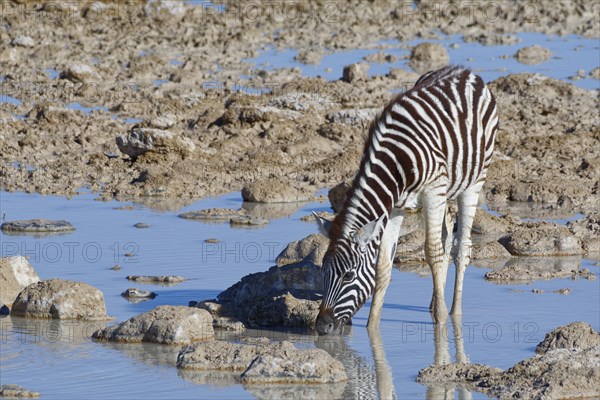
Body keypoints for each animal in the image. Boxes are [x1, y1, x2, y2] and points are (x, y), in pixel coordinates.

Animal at [312, 65, 500, 334]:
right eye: (323, 272)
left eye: (348, 275)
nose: (321, 327)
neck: (395, 162)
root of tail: (465, 71)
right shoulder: (394, 208)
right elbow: (383, 266)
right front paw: (372, 326)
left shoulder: (432, 190)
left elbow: (432, 252)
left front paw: (441, 323)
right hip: (445, 192)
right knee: (446, 235)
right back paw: (435, 301)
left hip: (474, 181)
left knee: (461, 247)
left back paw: (454, 311)